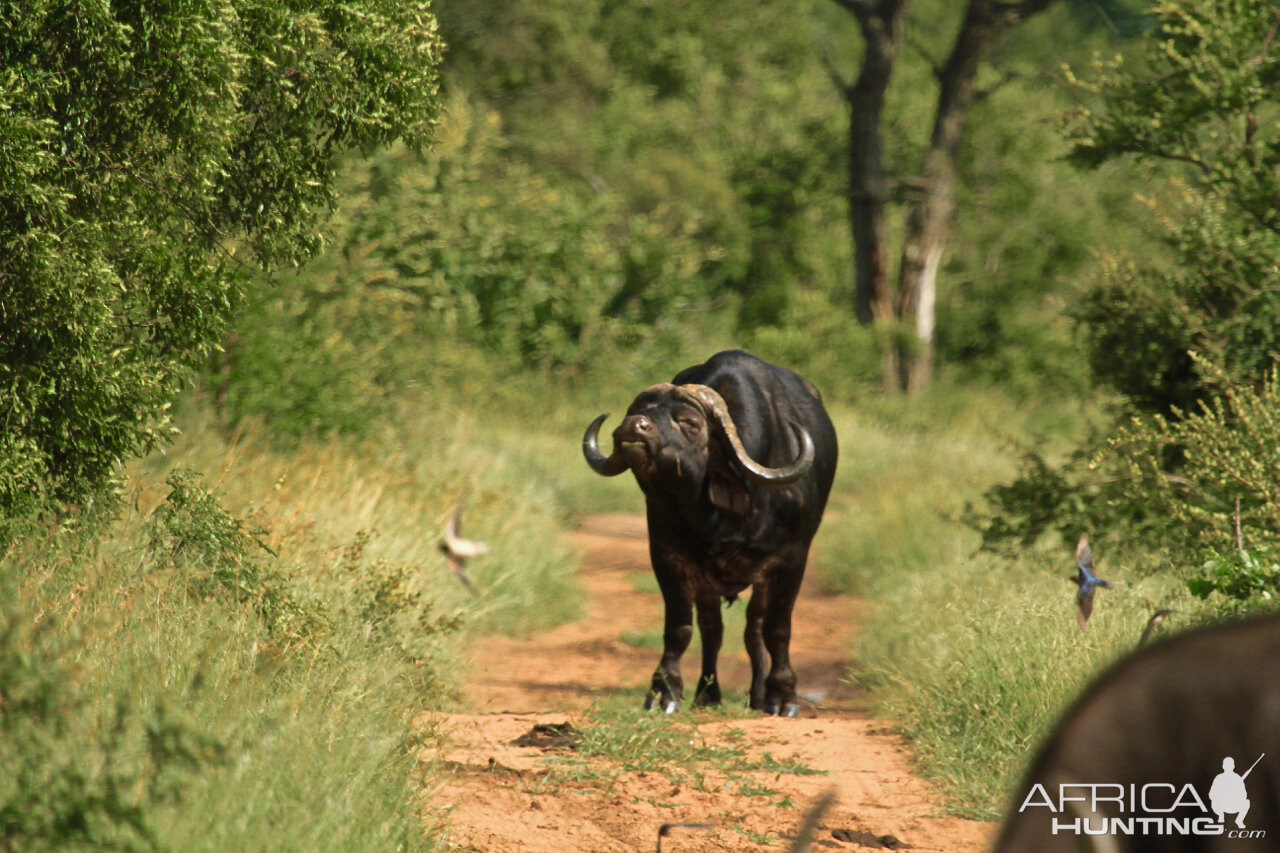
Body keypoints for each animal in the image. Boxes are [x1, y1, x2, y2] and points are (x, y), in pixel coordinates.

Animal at [581, 348, 839, 712]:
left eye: (689, 423)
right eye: (639, 412)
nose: (632, 426)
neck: (720, 513)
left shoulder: (791, 558)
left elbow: (777, 628)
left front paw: (783, 697)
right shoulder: (667, 555)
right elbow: (680, 628)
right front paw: (664, 692)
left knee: (754, 626)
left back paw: (759, 694)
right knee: (713, 628)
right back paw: (708, 694)